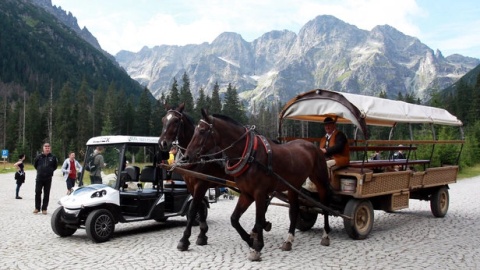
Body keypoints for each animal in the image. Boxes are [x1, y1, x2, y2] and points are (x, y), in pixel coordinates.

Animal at [158, 103, 270, 251]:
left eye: (176, 121)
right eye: (163, 120)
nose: (162, 143)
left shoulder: (201, 183)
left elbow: (193, 209)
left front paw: (184, 239)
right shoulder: (191, 184)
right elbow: (199, 207)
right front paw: (202, 234)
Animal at [182, 109, 332, 262]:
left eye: (202, 131)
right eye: (195, 130)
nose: (186, 157)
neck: (249, 154)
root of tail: (312, 145)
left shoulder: (259, 193)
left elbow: (259, 219)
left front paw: (257, 246)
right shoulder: (246, 193)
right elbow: (234, 219)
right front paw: (250, 240)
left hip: (320, 180)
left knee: (325, 205)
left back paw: (325, 235)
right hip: (293, 186)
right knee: (294, 210)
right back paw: (289, 240)